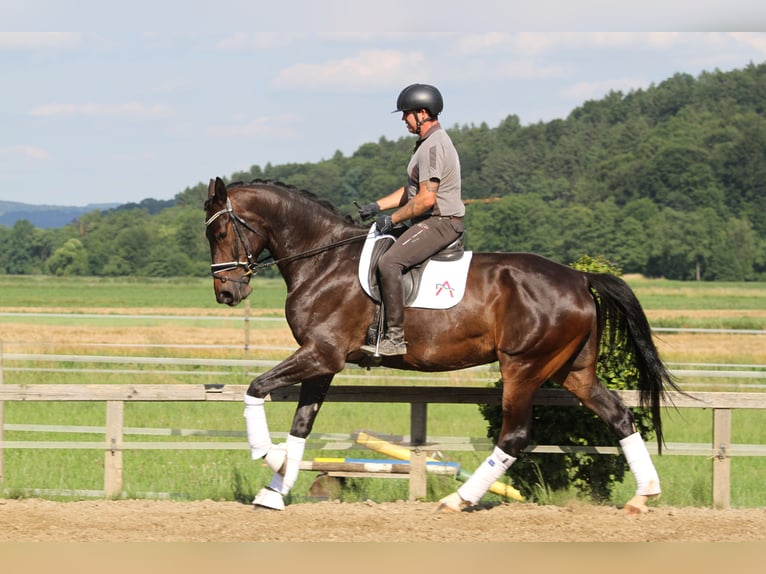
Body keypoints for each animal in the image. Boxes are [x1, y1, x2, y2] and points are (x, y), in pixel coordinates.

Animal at [204, 178, 680, 516]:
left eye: (222, 230)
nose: (226, 293)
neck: (322, 259)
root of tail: (580, 277)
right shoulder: (323, 361)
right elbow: (301, 424)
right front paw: (276, 489)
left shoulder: (323, 353)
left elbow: (256, 388)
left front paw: (270, 456)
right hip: (573, 371)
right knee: (618, 416)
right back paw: (644, 495)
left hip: (523, 367)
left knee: (515, 436)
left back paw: (458, 500)